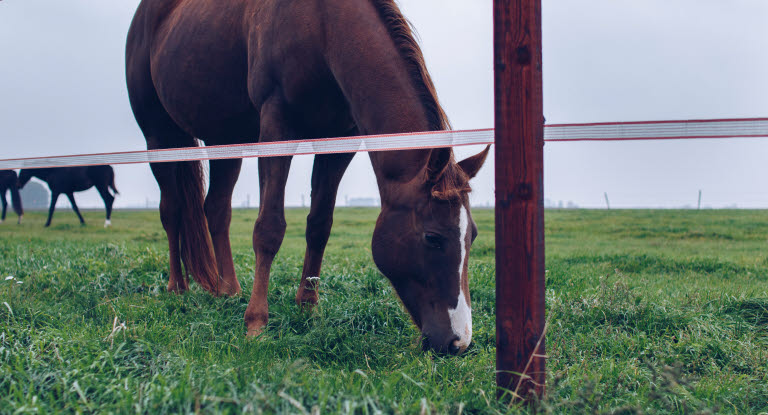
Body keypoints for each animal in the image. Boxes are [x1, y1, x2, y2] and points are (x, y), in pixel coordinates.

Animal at [125, 0, 486, 354]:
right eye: (433, 237)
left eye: (473, 236)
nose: (458, 341)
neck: (322, 25)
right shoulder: (276, 127)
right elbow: (269, 228)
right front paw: (256, 323)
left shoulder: (340, 141)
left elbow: (320, 225)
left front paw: (308, 307)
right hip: (158, 137)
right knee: (172, 210)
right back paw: (178, 287)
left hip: (225, 139)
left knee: (216, 209)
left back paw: (228, 290)